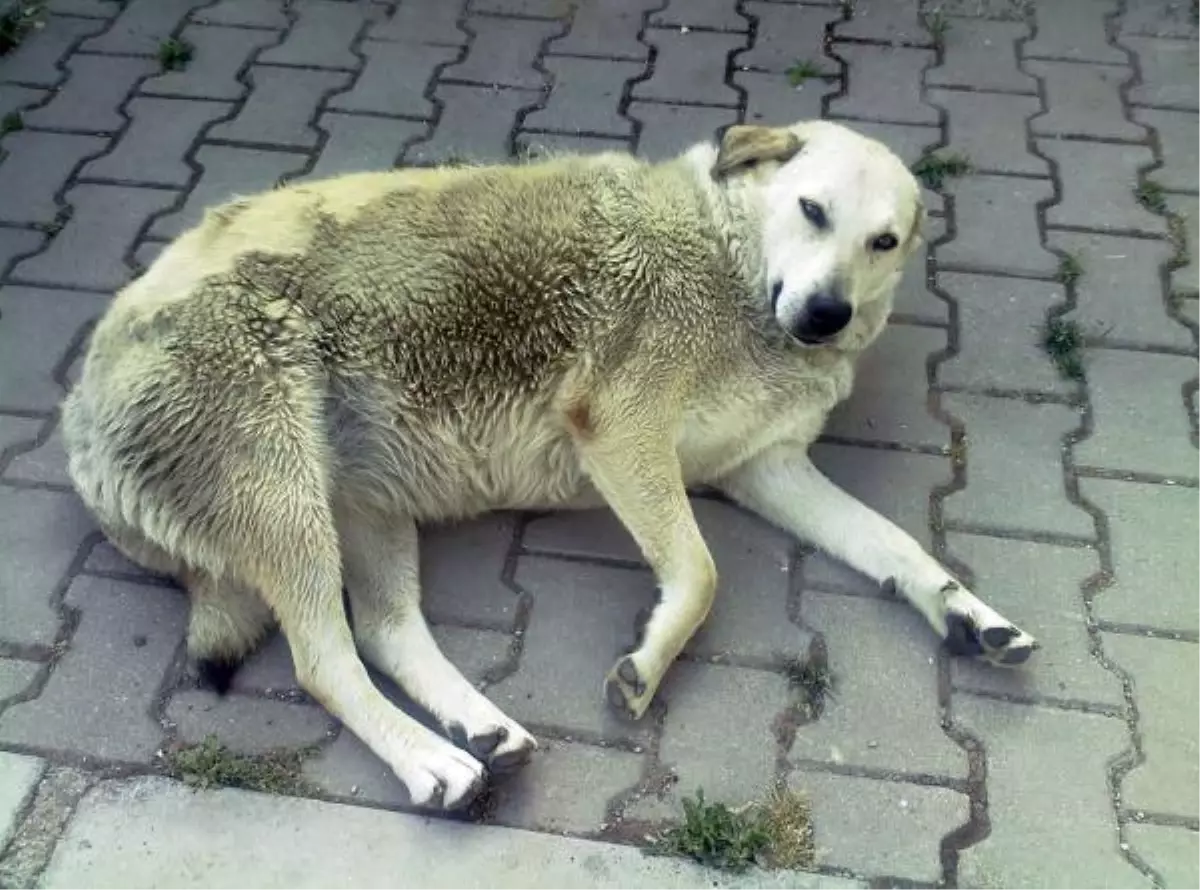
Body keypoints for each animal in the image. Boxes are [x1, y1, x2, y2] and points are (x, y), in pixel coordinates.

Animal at [58, 120, 1032, 815]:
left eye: (883, 241)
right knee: (324, 663)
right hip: (283, 496)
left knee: (385, 631)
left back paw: (482, 729)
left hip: (368, 503)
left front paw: (971, 614)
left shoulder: (765, 469)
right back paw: (434, 764)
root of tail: (79, 413)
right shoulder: (622, 429)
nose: (827, 315)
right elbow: (701, 573)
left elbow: (902, 548)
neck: (733, 270)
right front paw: (650, 663)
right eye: (812, 211)